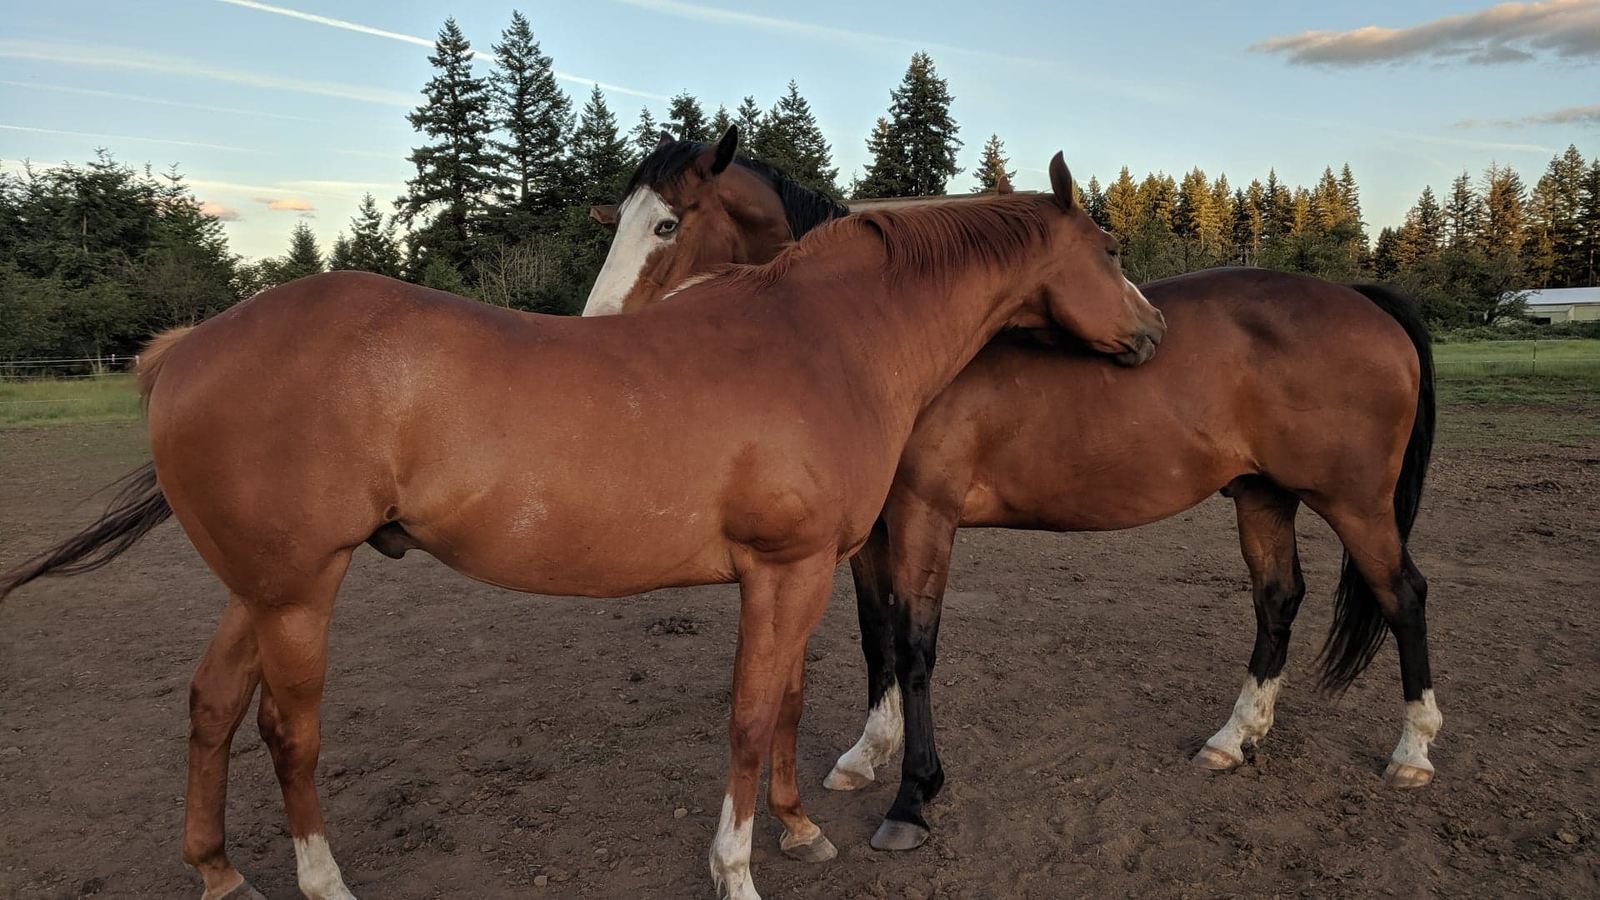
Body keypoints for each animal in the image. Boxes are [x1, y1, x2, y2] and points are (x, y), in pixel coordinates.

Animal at [0, 141, 1164, 900]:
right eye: (1109, 249)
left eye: (668, 224)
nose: (1152, 333)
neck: (823, 336)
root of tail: (185, 348)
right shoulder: (787, 569)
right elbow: (751, 716)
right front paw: (736, 867)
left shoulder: (798, 572)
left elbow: (787, 705)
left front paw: (796, 831)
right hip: (298, 590)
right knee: (289, 732)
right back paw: (321, 882)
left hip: (260, 586)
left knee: (210, 706)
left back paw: (220, 873)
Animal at [584, 129, 1440, 853]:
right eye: (619, 222)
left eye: (666, 226)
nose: (596, 327)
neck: (884, 338)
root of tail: (1360, 299)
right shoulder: (869, 531)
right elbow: (876, 632)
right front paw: (869, 752)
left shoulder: (924, 516)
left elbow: (916, 643)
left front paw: (912, 799)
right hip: (1263, 495)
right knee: (1278, 600)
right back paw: (1234, 739)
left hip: (1356, 504)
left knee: (1402, 594)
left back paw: (1413, 752)